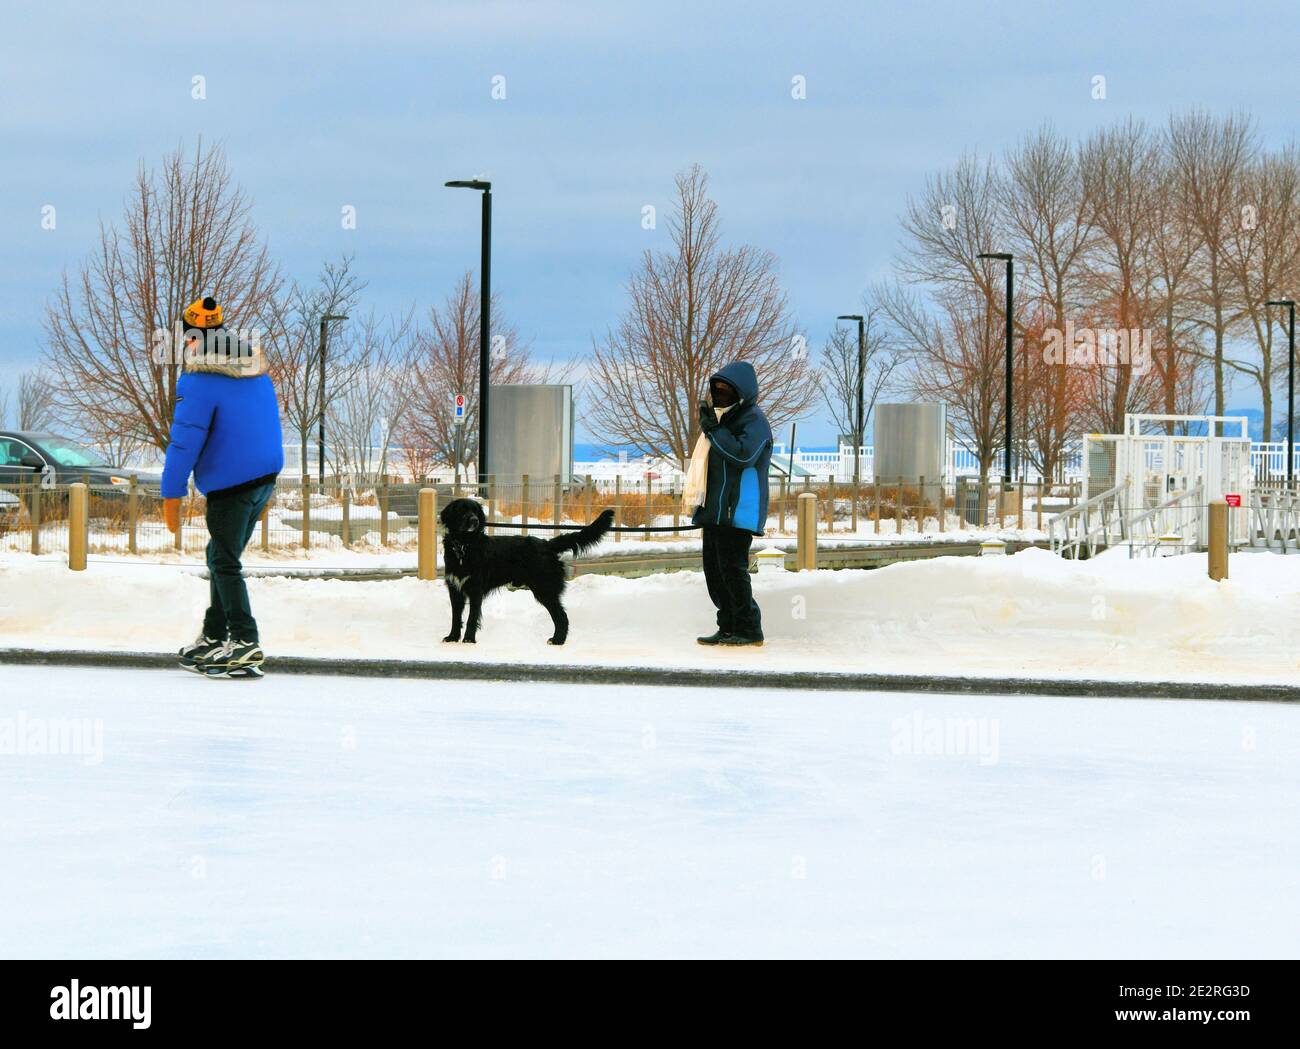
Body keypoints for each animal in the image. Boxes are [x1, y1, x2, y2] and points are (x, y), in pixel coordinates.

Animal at [439, 496, 616, 644]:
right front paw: (452, 637)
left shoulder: (476, 590)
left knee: (562, 616)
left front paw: (469, 640)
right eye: (461, 510)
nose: (475, 520)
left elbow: (471, 618)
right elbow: (456, 617)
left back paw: (557, 640)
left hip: (544, 589)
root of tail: (547, 544)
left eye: (475, 511)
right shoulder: (455, 589)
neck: (464, 546)